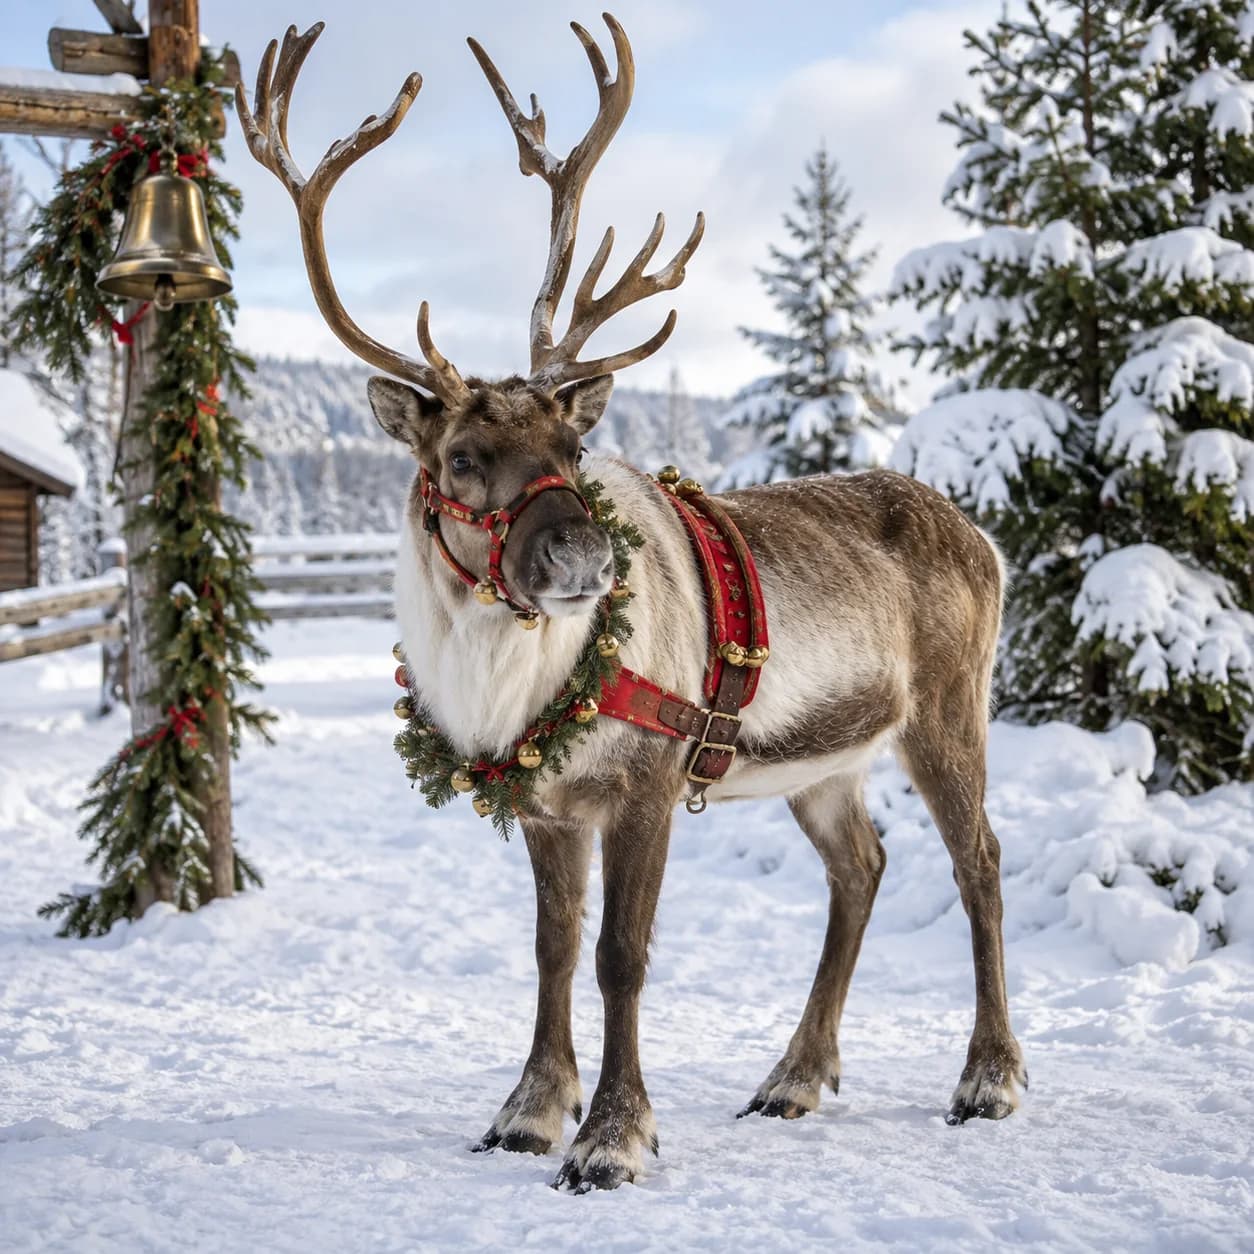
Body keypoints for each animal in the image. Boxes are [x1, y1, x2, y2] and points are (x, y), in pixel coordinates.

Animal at [237, 15, 1027, 1193]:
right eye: (462, 457)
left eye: (571, 449)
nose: (583, 553)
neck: (509, 687)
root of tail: (982, 535)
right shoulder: (543, 803)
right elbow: (552, 949)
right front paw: (529, 1110)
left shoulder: (646, 784)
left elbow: (621, 955)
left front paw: (612, 1137)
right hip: (822, 761)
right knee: (863, 867)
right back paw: (794, 1077)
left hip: (945, 710)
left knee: (980, 863)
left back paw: (988, 1079)